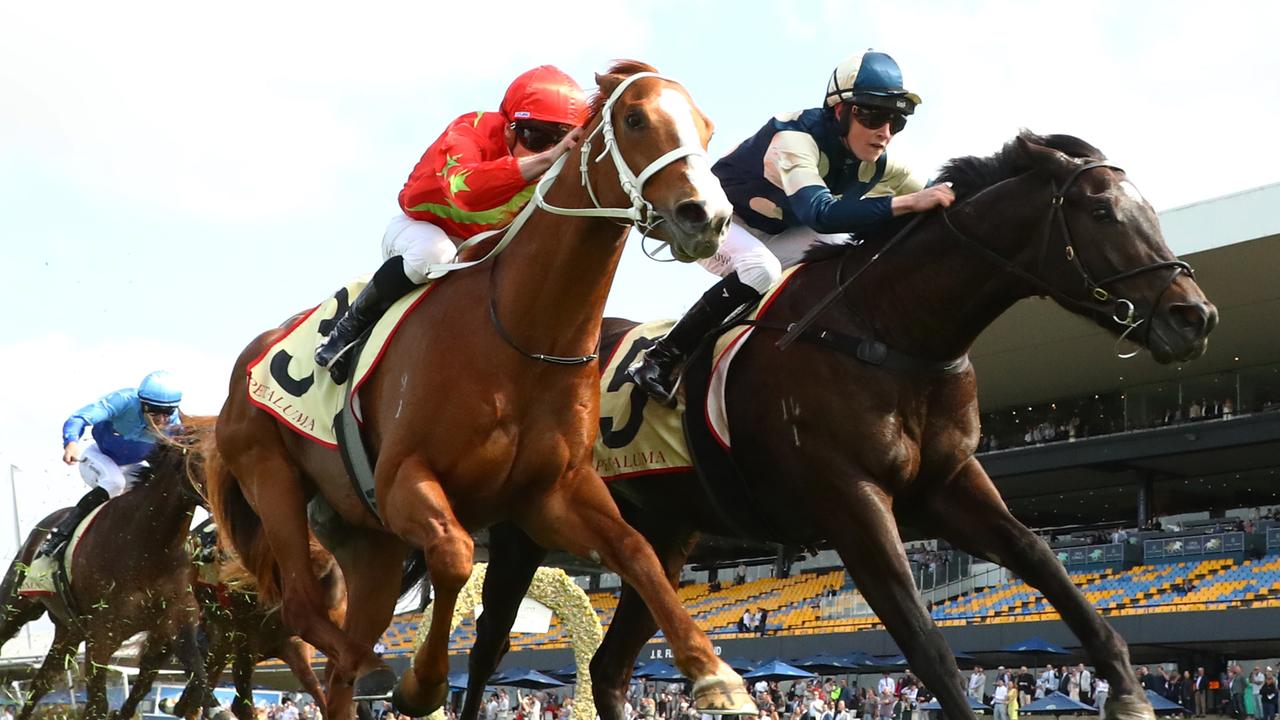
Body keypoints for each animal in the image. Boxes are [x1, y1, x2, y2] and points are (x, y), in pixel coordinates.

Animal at [204, 60, 752, 717]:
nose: (707, 216)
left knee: (339, 664)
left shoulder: (550, 496)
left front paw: (713, 672)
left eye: (706, 127)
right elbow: (455, 553)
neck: (520, 334)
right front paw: (421, 682)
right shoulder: (403, 480)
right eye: (635, 118)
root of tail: (249, 357)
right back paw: (377, 666)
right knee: (304, 610)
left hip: (370, 543)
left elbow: (636, 551)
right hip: (273, 477)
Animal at [460, 131, 1218, 717]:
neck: (890, 330)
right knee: (487, 648)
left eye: (1146, 208)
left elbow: (1044, 561)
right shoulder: (851, 502)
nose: (1196, 316)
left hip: (661, 536)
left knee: (610, 667)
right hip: (525, 532)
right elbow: (928, 646)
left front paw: (1126, 689)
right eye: (1102, 210)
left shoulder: (946, 484)